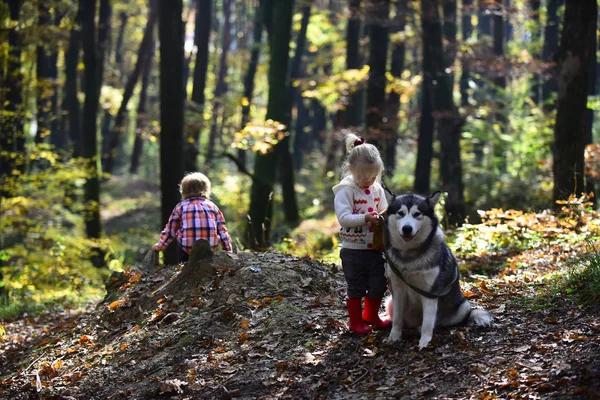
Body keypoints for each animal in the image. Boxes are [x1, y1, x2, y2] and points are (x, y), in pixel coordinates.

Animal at [384, 192, 492, 348]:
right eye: (400, 213)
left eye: (417, 214)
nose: (407, 228)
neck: (409, 256)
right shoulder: (397, 289)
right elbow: (398, 318)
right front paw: (394, 337)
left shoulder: (431, 292)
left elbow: (428, 323)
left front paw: (425, 342)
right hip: (389, 301)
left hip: (463, 307)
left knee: (437, 322)